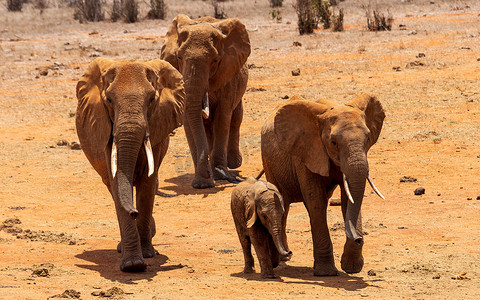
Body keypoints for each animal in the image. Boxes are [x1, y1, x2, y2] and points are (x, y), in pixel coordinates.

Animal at [76, 56, 185, 272]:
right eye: (109, 100)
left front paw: (147, 255)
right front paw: (133, 265)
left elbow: (148, 182)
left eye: (151, 100)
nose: (134, 212)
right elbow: (117, 182)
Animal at [161, 14, 251, 189]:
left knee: (235, 118)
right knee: (209, 127)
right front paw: (203, 181)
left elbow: (223, 117)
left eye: (215, 60)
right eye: (179, 57)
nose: (209, 176)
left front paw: (218, 175)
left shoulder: (228, 77)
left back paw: (233, 164)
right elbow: (189, 121)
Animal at [260, 93, 384, 276]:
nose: (358, 238)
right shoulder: (305, 152)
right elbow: (315, 202)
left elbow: (349, 199)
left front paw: (351, 268)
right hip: (269, 162)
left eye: (368, 138)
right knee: (282, 202)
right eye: (333, 142)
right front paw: (325, 272)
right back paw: (284, 258)